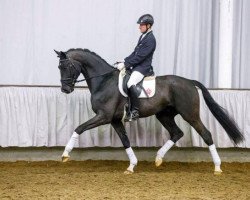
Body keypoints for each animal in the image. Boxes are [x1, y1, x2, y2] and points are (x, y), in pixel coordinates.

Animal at [55, 48, 244, 173]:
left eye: (67, 67)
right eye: (59, 68)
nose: (65, 89)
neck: (104, 81)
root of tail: (190, 82)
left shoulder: (104, 116)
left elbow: (79, 128)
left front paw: (65, 154)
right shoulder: (114, 120)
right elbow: (125, 141)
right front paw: (131, 166)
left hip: (190, 115)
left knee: (206, 135)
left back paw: (217, 167)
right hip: (164, 115)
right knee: (177, 133)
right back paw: (158, 158)